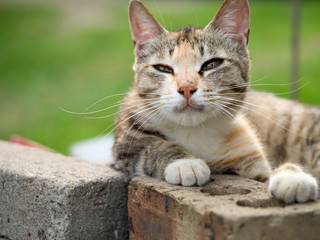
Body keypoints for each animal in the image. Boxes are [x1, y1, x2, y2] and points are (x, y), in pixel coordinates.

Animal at [112, 0, 318, 203]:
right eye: (163, 68)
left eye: (212, 64)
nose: (186, 88)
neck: (194, 131)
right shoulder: (124, 151)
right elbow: (152, 148)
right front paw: (186, 163)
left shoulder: (247, 152)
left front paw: (292, 176)